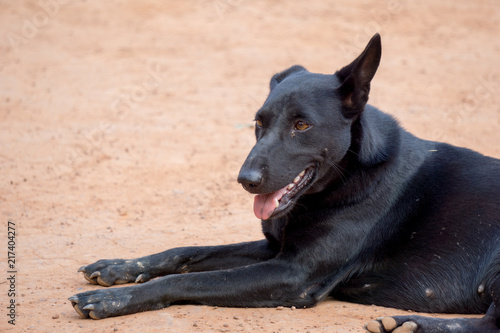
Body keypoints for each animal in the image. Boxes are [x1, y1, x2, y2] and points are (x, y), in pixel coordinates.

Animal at [67, 34, 500, 332]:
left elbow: (189, 277)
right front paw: (120, 268)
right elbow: (185, 252)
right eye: (258, 122)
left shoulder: (293, 274)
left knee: (490, 324)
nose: (245, 181)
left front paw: (114, 299)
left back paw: (412, 324)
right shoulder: (275, 249)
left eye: (302, 126)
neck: (347, 178)